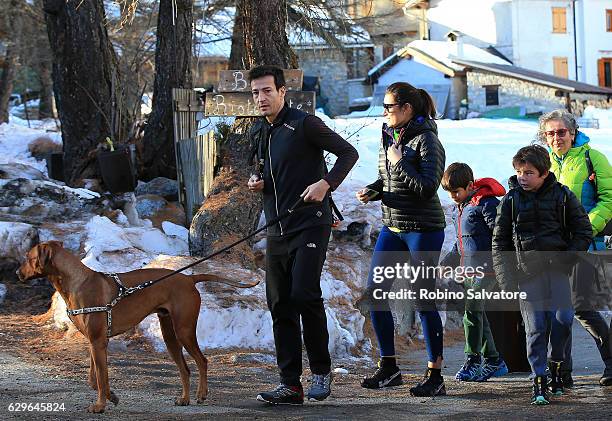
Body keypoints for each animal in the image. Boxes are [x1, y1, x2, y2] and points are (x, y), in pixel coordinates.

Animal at [16, 241, 256, 412]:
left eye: (28, 257)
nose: (17, 273)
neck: (76, 282)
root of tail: (189, 279)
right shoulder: (94, 342)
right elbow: (95, 379)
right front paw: (111, 396)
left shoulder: (98, 342)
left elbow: (100, 378)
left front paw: (100, 406)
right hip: (169, 335)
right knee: (185, 369)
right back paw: (184, 399)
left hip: (184, 330)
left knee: (202, 360)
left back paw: (201, 394)